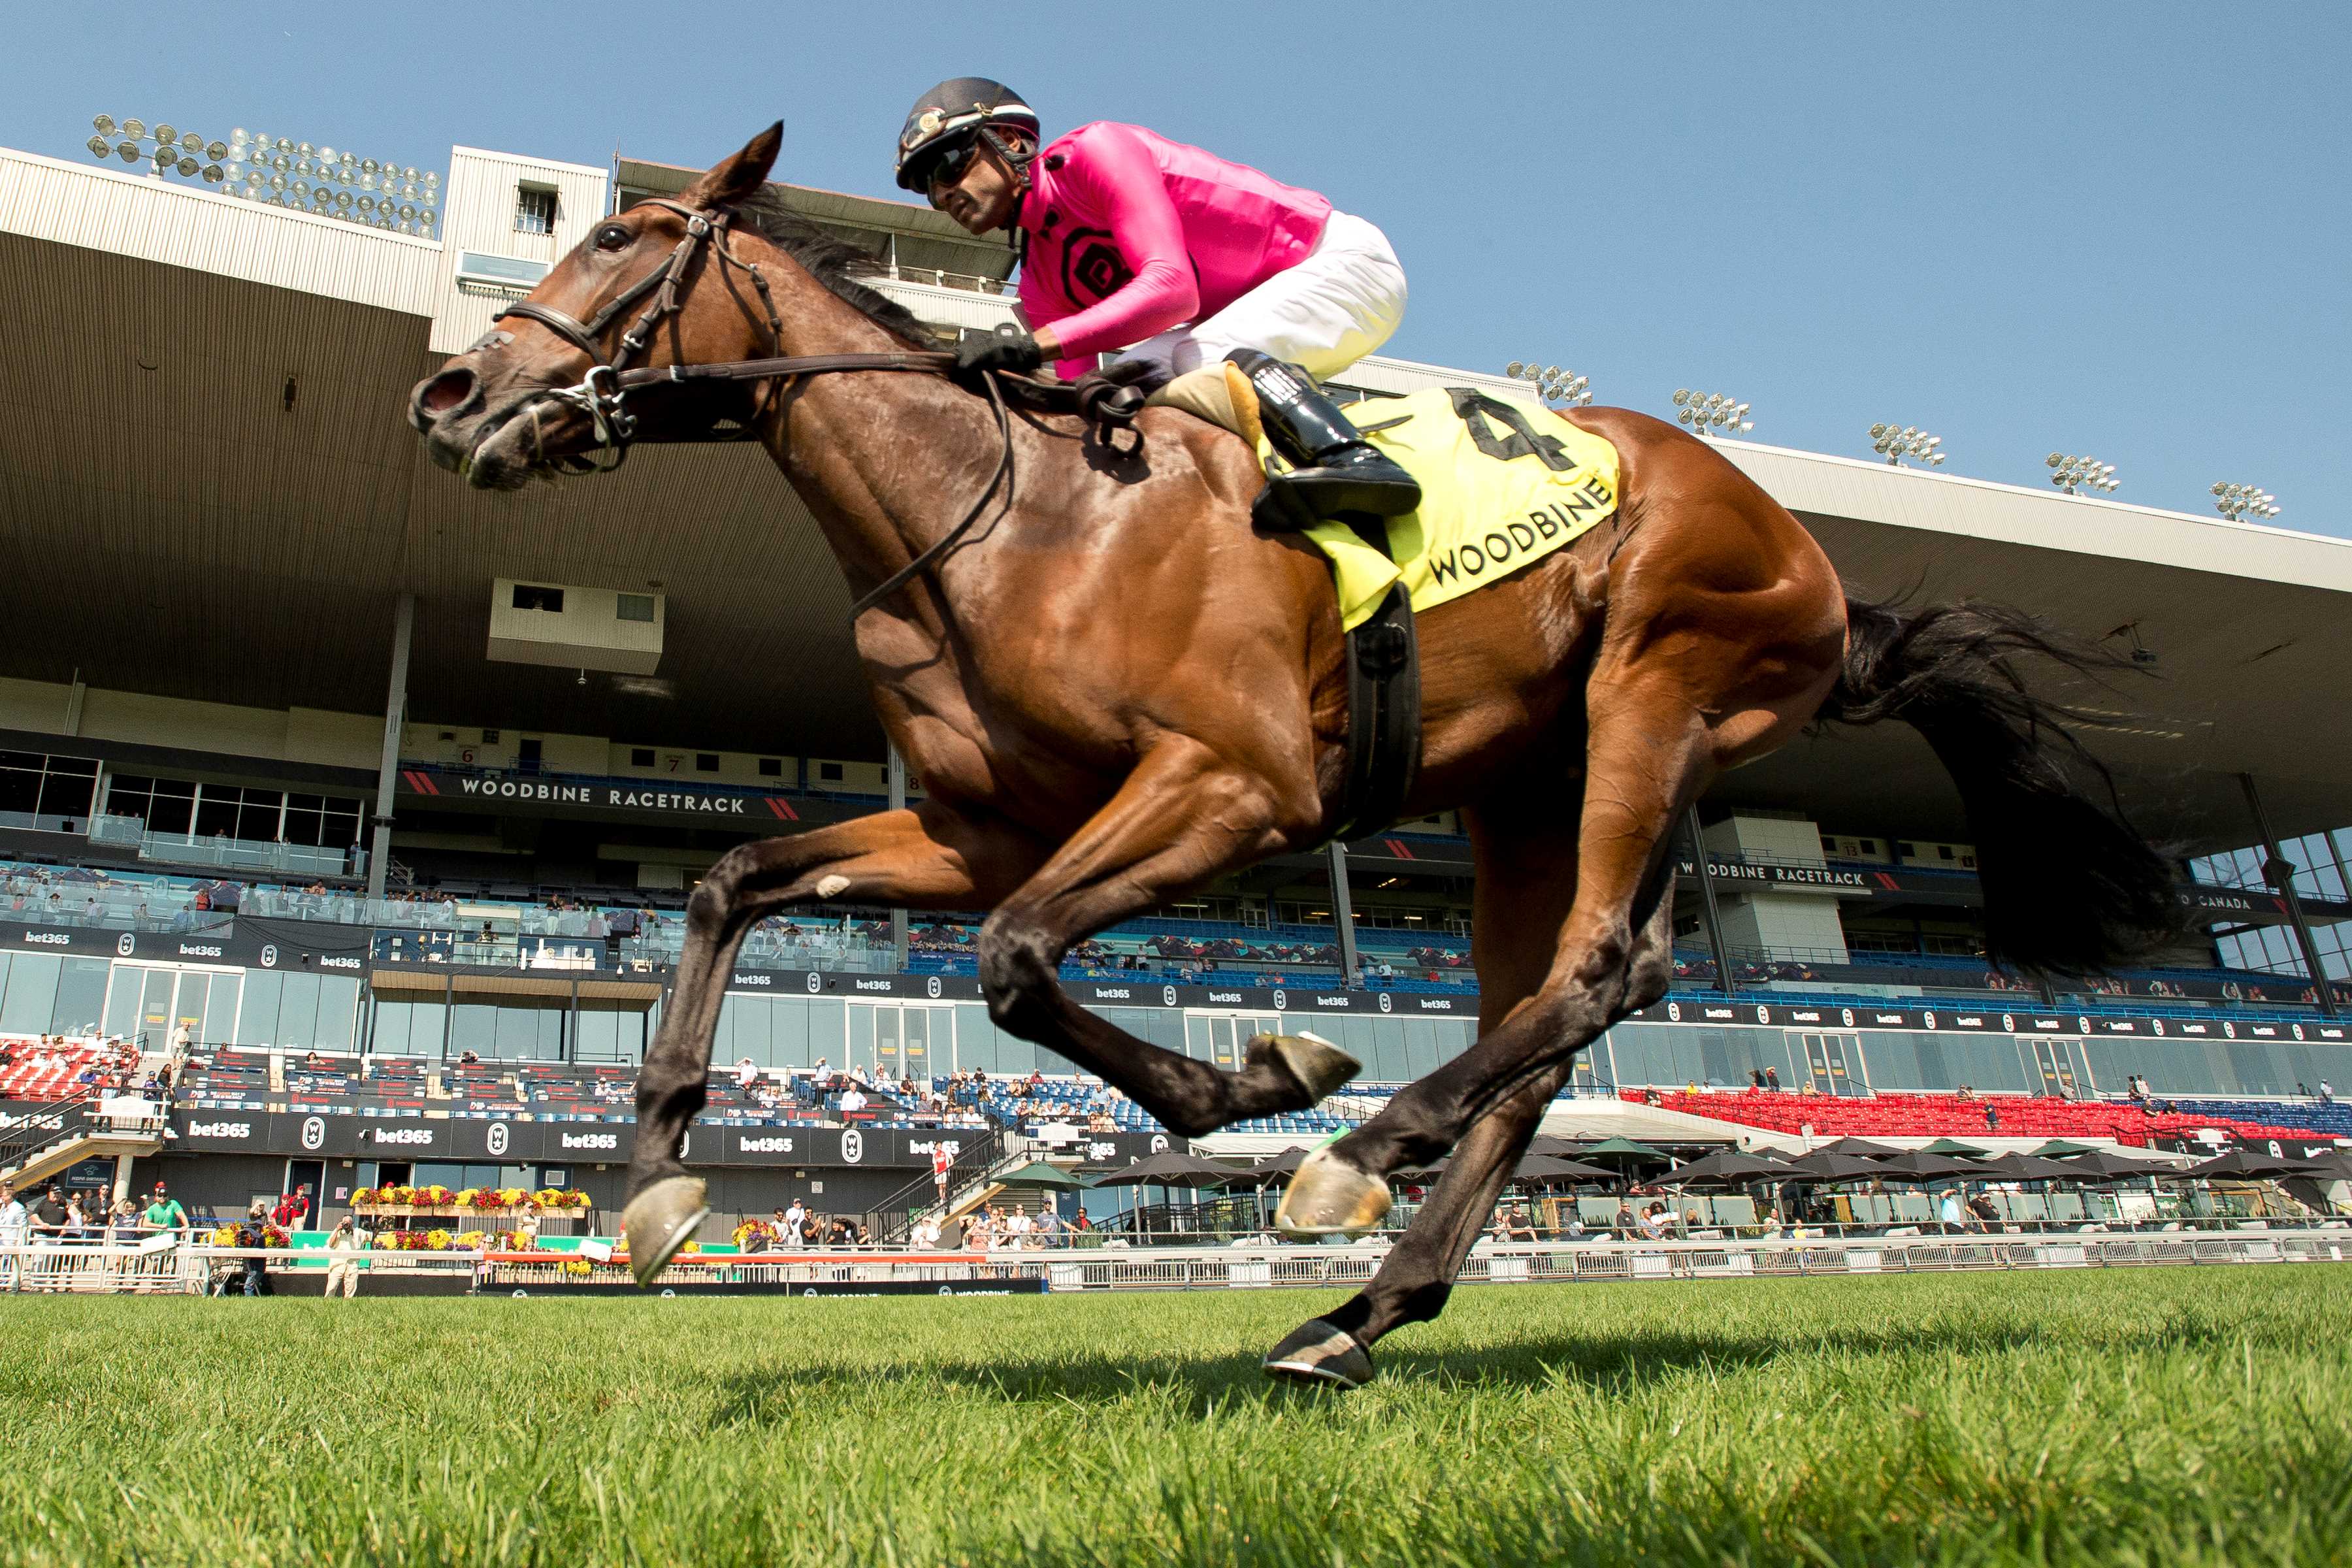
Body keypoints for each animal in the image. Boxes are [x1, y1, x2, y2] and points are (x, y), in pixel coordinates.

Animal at [409, 129, 2182, 1392]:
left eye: (619, 239)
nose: (452, 390)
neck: (1009, 514)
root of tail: (1817, 561)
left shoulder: (1235, 786)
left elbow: (1017, 958)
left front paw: (1252, 1080)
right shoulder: (984, 826)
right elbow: (730, 881)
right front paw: (651, 1185)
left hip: (1658, 692)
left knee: (1601, 967)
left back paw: (1352, 1161)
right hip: (1524, 789)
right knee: (1546, 1024)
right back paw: (1358, 1309)